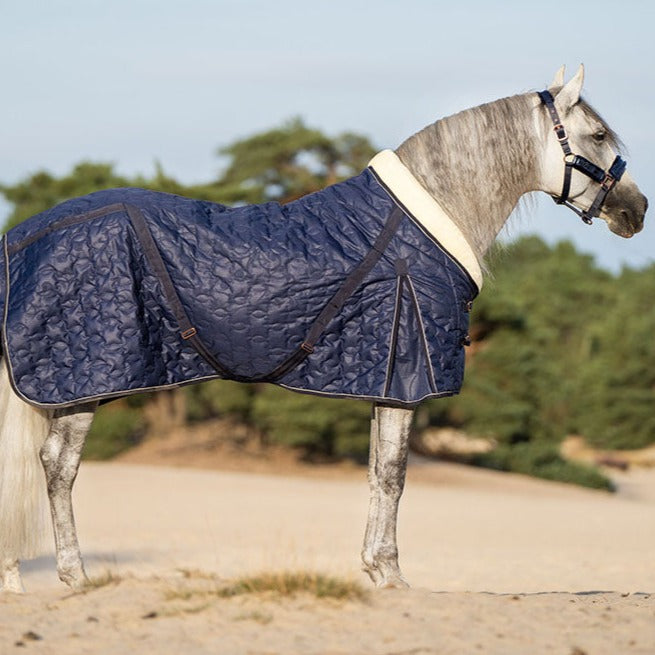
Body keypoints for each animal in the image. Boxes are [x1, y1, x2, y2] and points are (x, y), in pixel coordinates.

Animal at [0, 65, 648, 592]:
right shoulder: (405, 375)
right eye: (596, 136)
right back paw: (75, 576)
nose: (636, 212)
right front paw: (392, 575)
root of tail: (23, 238)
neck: (424, 222)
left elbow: (376, 473)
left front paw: (375, 569)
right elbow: (394, 476)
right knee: (58, 467)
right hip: (86, 379)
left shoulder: (385, 381)